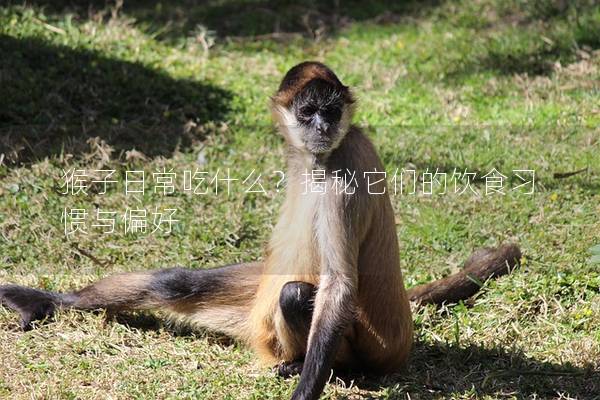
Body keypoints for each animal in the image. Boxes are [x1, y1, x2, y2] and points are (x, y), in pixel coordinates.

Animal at [0, 61, 520, 398]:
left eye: (331, 112)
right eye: (308, 112)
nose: (321, 127)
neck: (321, 158)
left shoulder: (347, 177)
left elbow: (338, 283)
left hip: (364, 349)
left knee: (294, 293)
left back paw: (305, 367)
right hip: (253, 309)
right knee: (178, 283)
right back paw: (44, 302)